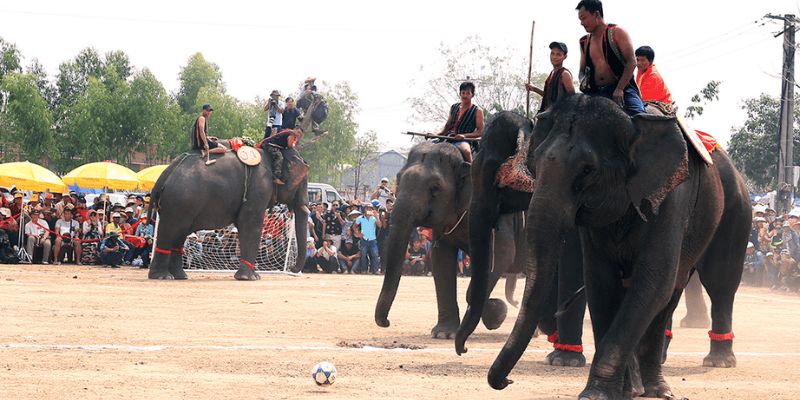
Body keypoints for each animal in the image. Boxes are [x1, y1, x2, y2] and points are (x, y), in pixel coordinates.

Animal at [376, 142, 528, 340]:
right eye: (399, 180)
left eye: (435, 188)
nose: (387, 322)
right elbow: (441, 260)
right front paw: (443, 334)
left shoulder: (498, 214)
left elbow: (501, 255)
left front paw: (497, 313)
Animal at [460, 95, 752, 398]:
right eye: (536, 163)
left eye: (587, 170)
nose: (506, 382)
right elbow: (600, 280)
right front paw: (616, 390)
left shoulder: (671, 197)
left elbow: (649, 277)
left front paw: (588, 383)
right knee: (669, 291)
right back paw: (648, 386)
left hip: (735, 209)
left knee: (715, 282)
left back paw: (711, 364)